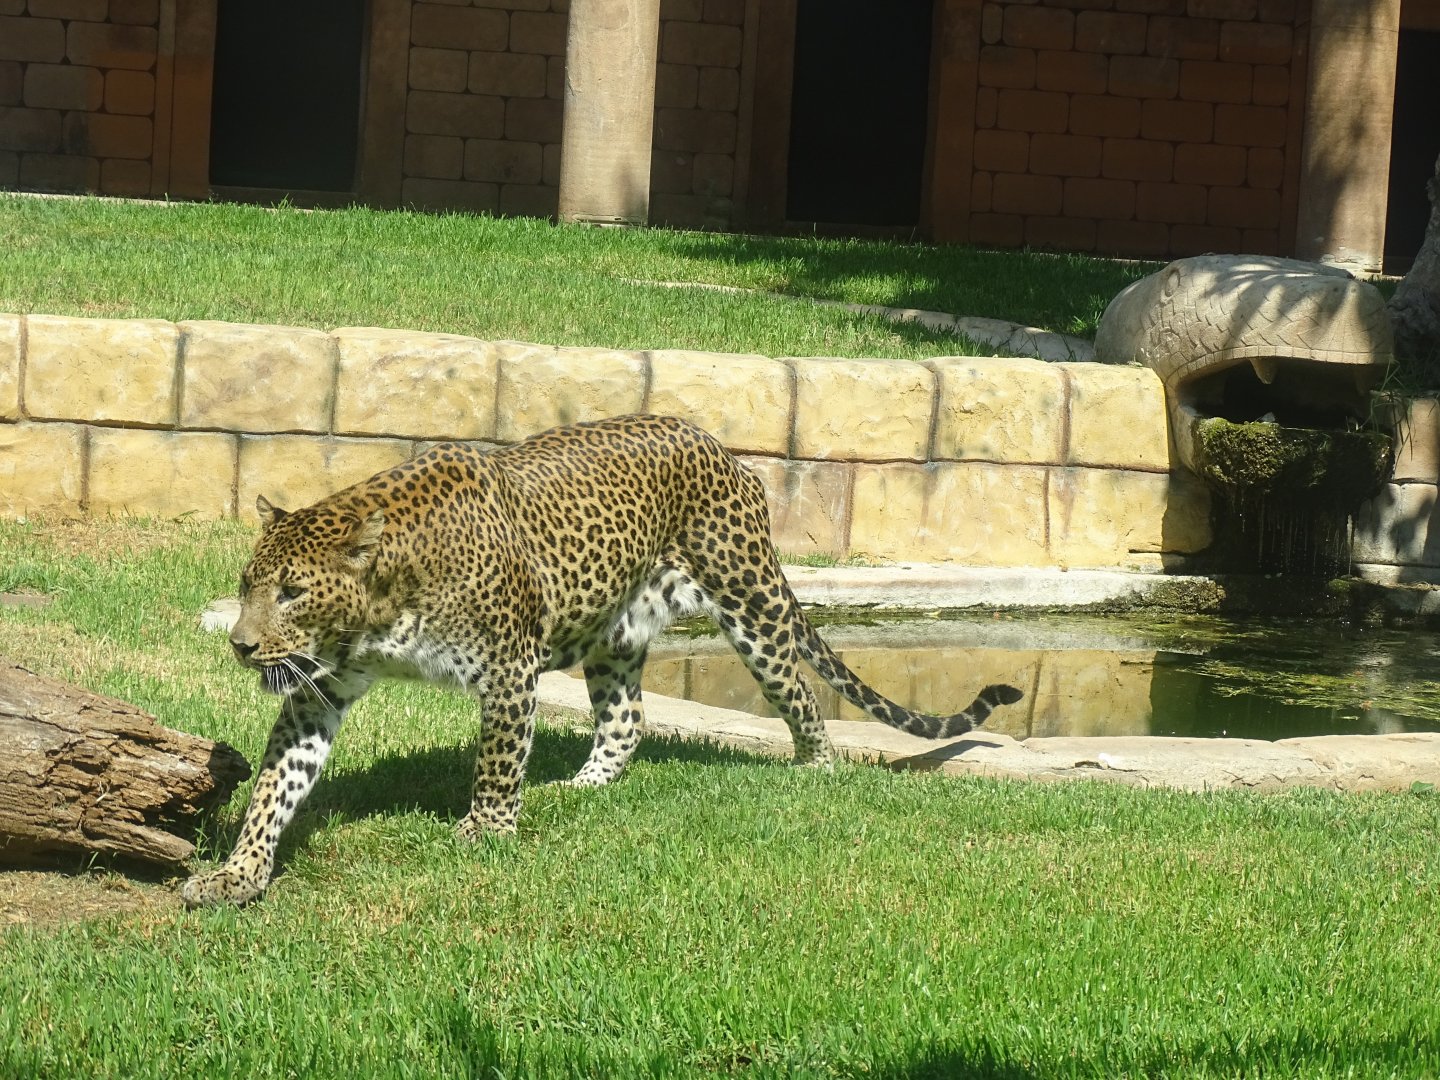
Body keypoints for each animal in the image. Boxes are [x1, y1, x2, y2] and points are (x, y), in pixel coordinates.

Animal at [181, 414, 1023, 907]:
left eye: (293, 592)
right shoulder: (316, 692)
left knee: (802, 695)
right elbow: (276, 787)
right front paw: (239, 872)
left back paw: (816, 767)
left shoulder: (507, 671)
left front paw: (485, 832)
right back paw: (581, 787)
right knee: (628, 719)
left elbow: (496, 763)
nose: (241, 645)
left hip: (749, 603)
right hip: (613, 639)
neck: (383, 607)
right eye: (248, 586)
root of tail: (722, 450)